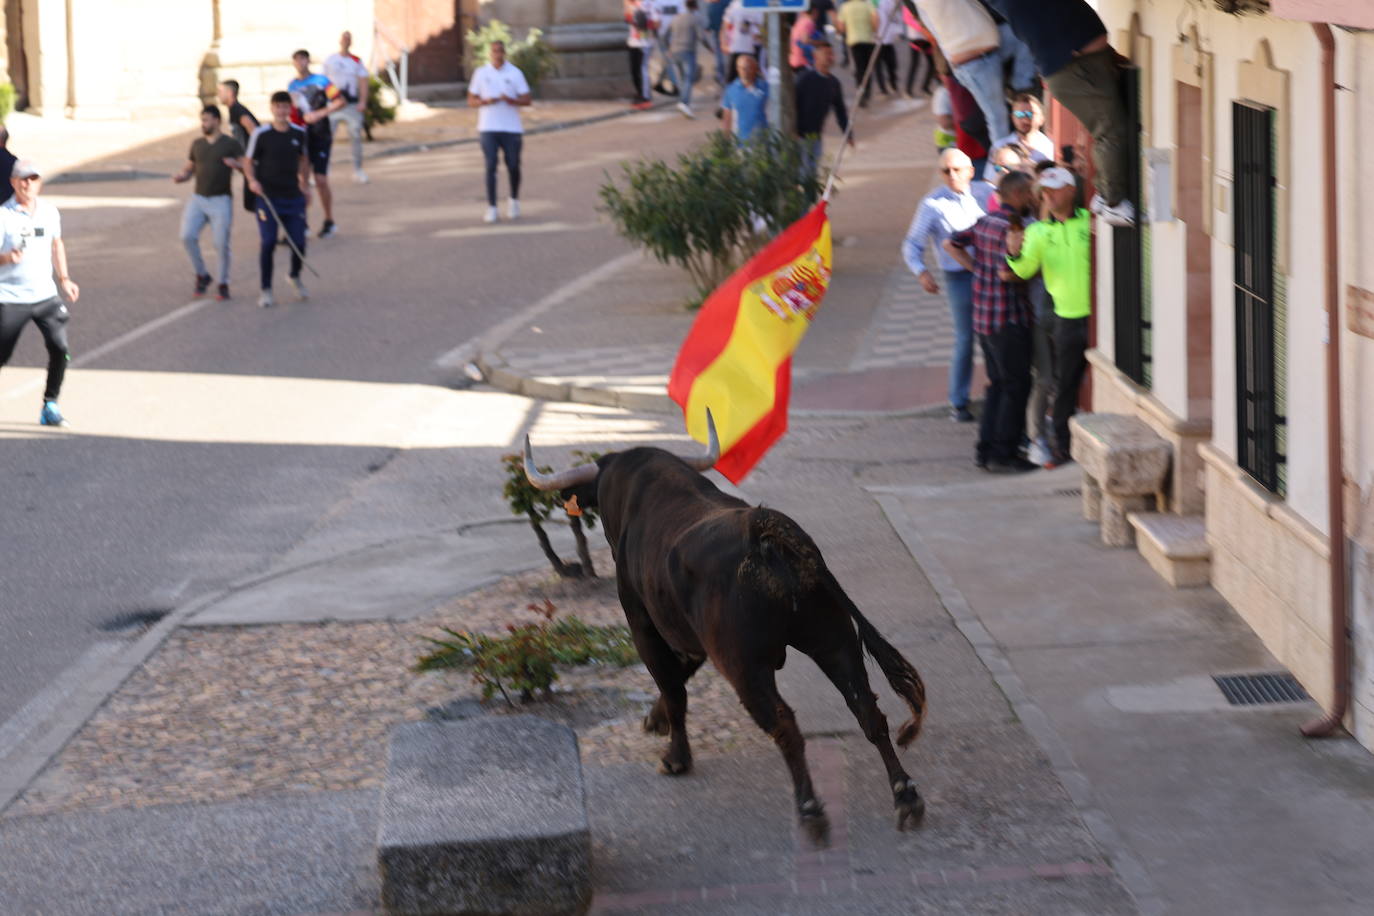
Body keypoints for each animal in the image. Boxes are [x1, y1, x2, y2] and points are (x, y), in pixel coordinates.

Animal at [522, 414, 923, 845]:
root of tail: (764, 529)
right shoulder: (693, 639)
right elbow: (678, 678)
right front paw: (655, 720)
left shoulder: (645, 625)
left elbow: (673, 687)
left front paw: (675, 756)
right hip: (833, 639)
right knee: (866, 708)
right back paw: (905, 796)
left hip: (744, 665)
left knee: (785, 724)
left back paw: (811, 809)